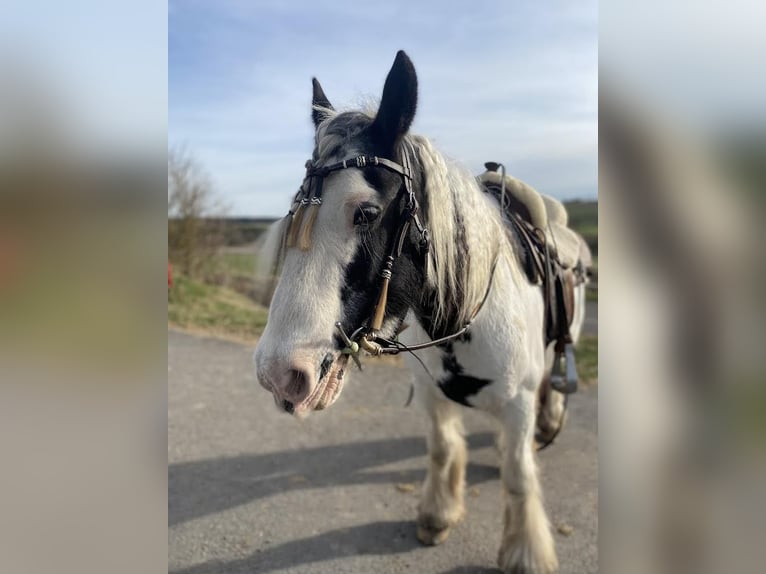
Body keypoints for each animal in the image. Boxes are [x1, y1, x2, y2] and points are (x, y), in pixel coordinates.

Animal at [255, 50, 592, 574]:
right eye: (296, 212)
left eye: (367, 213)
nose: (279, 374)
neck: (468, 317)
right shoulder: (432, 395)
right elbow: (441, 449)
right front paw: (438, 514)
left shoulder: (516, 403)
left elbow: (518, 475)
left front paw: (524, 552)